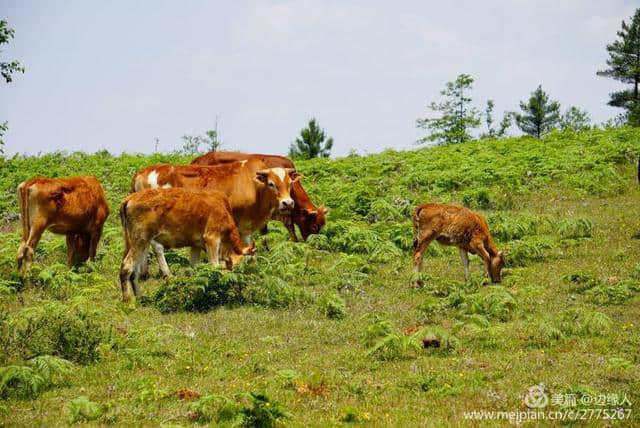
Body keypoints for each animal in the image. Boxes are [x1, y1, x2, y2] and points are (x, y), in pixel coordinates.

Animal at [119, 187, 254, 300]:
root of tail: (130, 198)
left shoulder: (195, 246)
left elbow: (195, 269)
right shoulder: (212, 239)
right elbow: (214, 267)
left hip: (141, 244)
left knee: (135, 271)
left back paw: (140, 298)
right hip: (140, 241)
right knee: (127, 267)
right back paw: (128, 300)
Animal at [132, 160, 300, 278]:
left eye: (290, 184)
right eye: (271, 184)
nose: (288, 203)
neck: (254, 186)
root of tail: (143, 171)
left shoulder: (243, 228)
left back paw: (143, 273)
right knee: (157, 247)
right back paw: (166, 273)